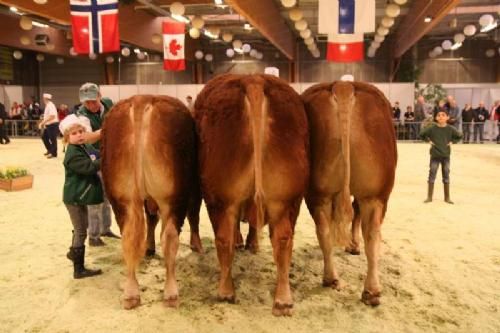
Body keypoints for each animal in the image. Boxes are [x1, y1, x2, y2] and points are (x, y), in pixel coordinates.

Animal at [100, 94, 200, 308]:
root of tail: (142, 98)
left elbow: (151, 219)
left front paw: (148, 247)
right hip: (173, 197)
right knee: (170, 238)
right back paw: (171, 294)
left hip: (122, 198)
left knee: (128, 237)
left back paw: (131, 294)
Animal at [194, 74, 308, 316]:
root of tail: (253, 79)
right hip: (286, 199)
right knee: (283, 239)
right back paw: (283, 300)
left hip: (219, 198)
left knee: (224, 238)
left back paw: (226, 291)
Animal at [302, 81, 396, 306]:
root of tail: (343, 85)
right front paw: (353, 246)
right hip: (377, 195)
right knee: (371, 233)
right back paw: (370, 290)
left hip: (320, 192)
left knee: (325, 229)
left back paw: (335, 280)